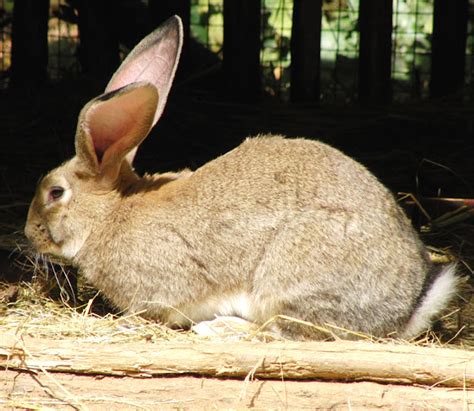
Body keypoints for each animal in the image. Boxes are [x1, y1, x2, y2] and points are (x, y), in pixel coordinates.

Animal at [23, 15, 460, 342]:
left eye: (55, 192)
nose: (29, 233)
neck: (108, 215)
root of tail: (406, 310)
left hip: (290, 276)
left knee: (289, 332)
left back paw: (220, 328)